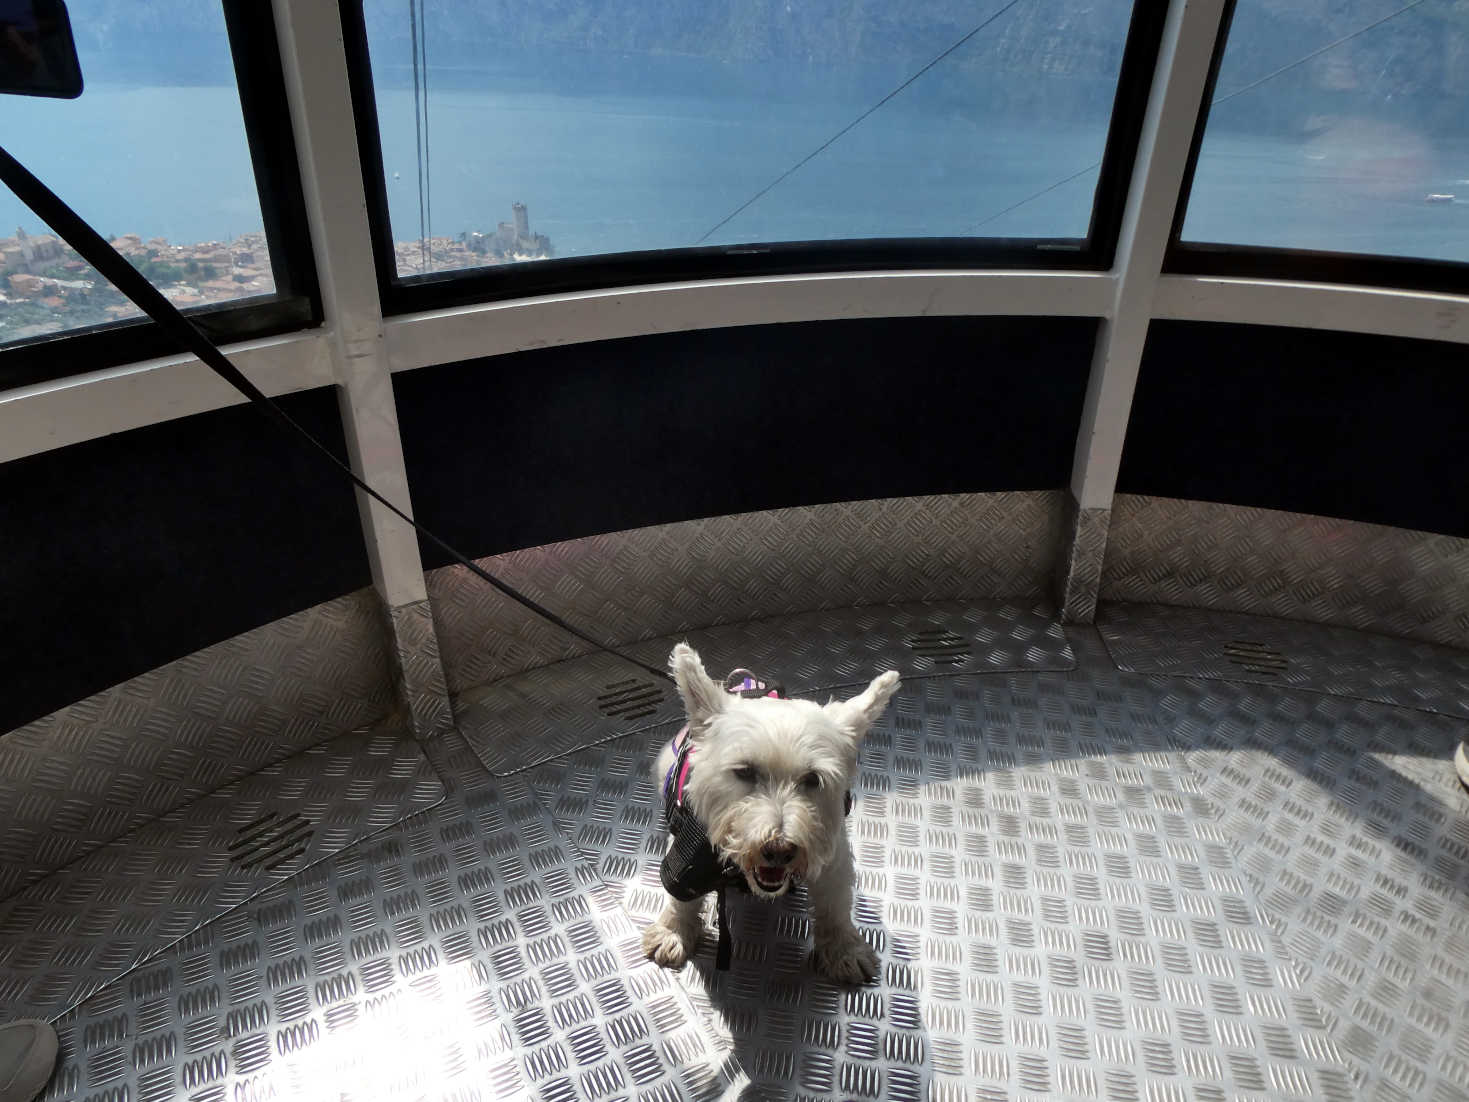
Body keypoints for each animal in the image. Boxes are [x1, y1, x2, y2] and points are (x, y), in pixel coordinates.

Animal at [640, 643, 899, 987]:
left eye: (813, 779)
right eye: (744, 771)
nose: (779, 850)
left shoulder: (834, 858)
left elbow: (836, 905)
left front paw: (845, 950)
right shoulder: (685, 856)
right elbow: (680, 895)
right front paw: (673, 931)